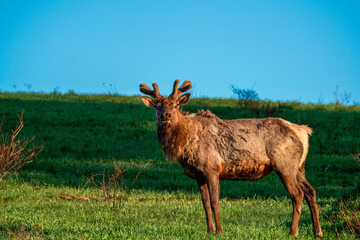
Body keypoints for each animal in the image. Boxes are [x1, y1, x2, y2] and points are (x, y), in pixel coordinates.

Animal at [139, 79, 322, 237]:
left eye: (176, 105)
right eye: (157, 106)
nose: (166, 116)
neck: (184, 142)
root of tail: (304, 132)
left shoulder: (211, 168)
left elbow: (214, 201)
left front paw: (220, 231)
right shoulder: (199, 176)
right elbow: (205, 204)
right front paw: (209, 231)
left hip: (285, 164)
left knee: (297, 194)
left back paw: (293, 232)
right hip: (299, 167)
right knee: (310, 191)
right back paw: (317, 232)